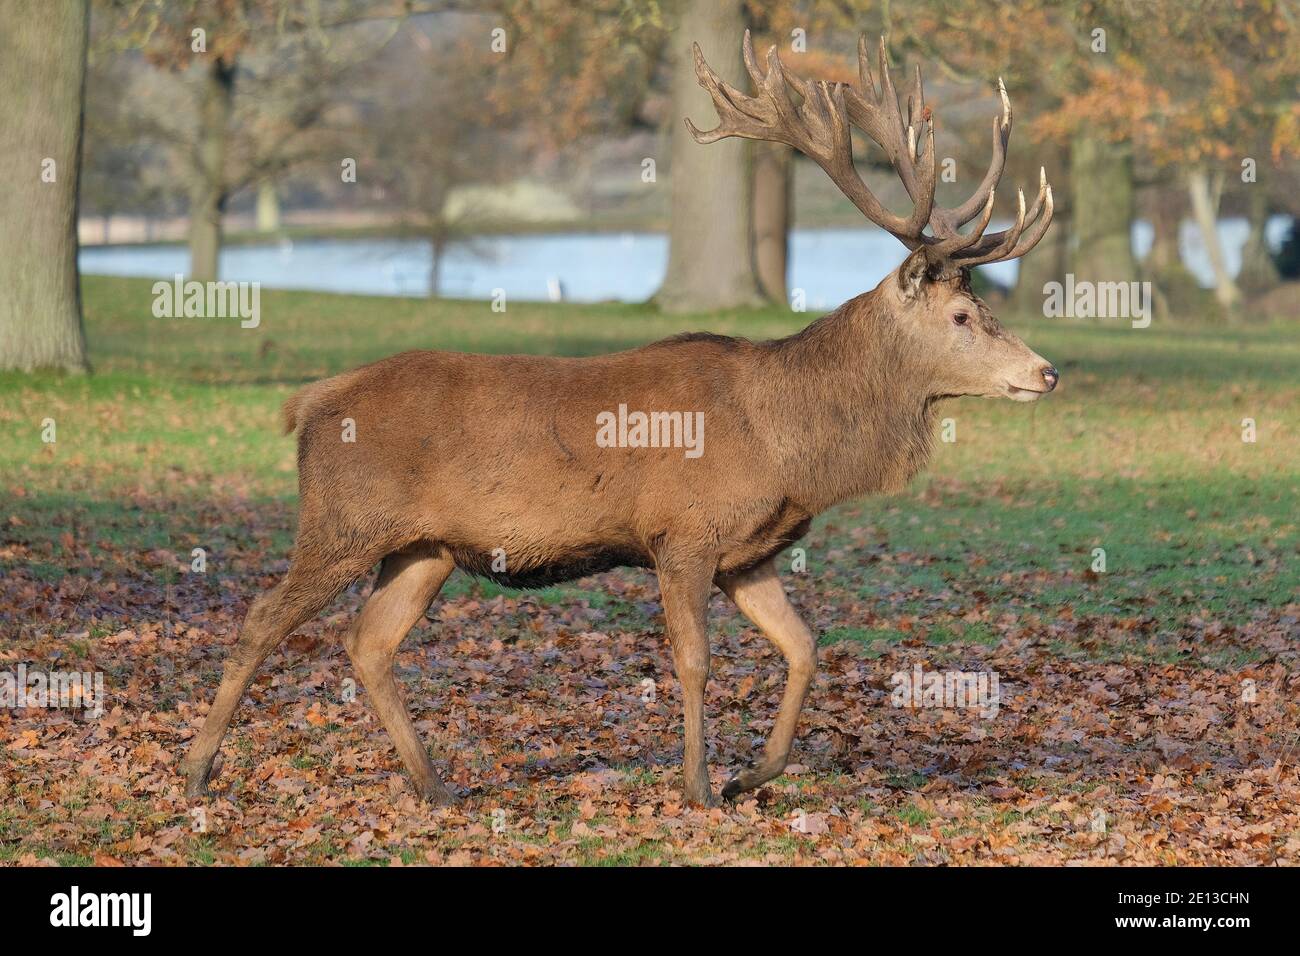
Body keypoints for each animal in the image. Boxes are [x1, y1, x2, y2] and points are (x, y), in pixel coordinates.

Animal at [181, 32, 1058, 808]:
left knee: (368, 641)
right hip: (342, 519)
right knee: (262, 618)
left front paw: (752, 776)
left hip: (422, 548)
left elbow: (806, 648)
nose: (1045, 372)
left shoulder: (749, 552)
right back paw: (197, 772)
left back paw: (435, 785)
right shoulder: (683, 532)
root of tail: (308, 403)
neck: (788, 443)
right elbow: (695, 660)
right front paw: (699, 786)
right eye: (960, 317)